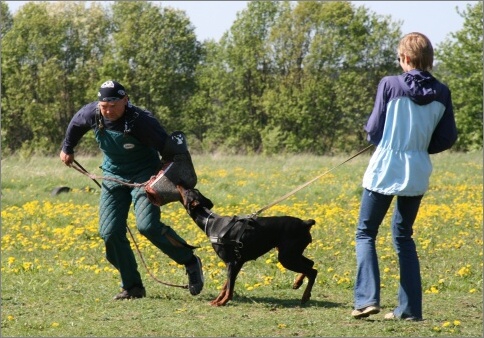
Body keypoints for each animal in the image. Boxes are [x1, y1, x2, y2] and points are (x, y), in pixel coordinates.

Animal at [178, 185, 318, 306]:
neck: (211, 222)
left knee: (313, 271)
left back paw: (305, 296)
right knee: (311, 264)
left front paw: (222, 302)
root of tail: (305, 223)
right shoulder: (236, 263)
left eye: (187, 191)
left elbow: (229, 288)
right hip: (292, 253)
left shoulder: (232, 262)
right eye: (192, 190)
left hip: (287, 257)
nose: (179, 184)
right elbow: (226, 285)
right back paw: (297, 283)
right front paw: (217, 300)